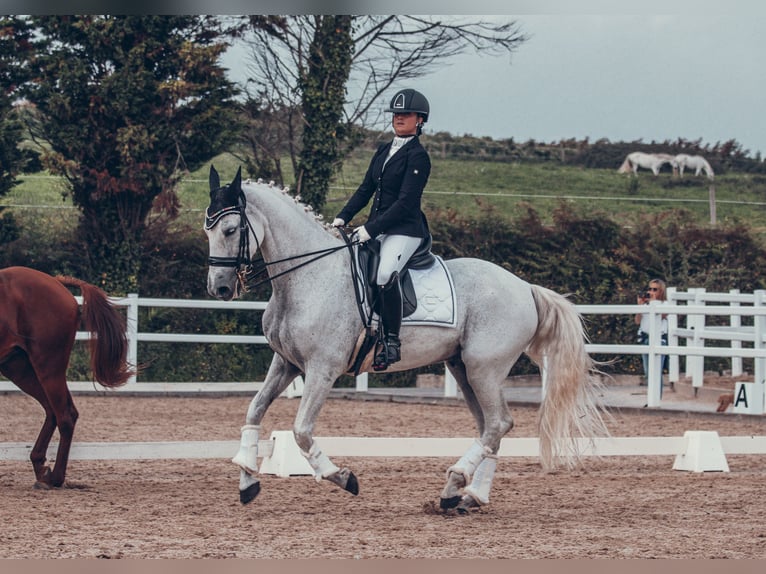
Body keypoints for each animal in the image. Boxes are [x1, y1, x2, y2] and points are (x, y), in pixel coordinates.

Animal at [0, 268, 134, 488]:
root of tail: (56, 282)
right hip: (18, 368)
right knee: (53, 411)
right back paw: (42, 469)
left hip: (48, 367)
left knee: (65, 414)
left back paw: (55, 478)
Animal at [206, 166, 612, 512]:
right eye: (207, 229)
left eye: (230, 230)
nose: (219, 288)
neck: (308, 276)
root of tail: (525, 287)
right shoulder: (287, 363)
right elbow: (254, 410)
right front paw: (247, 480)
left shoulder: (323, 368)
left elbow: (302, 432)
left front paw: (342, 477)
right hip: (464, 369)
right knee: (491, 428)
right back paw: (468, 496)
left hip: (485, 368)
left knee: (498, 424)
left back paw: (457, 483)